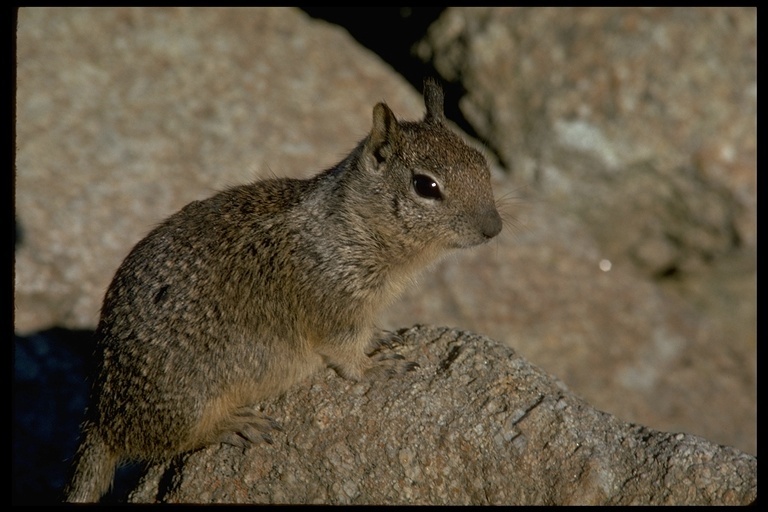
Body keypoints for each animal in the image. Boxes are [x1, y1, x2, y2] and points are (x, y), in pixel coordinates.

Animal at [64, 78, 504, 502]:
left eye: (482, 162)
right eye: (425, 186)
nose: (494, 228)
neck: (352, 225)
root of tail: (100, 417)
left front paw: (381, 336)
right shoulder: (334, 309)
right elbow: (347, 356)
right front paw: (376, 366)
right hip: (187, 404)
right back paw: (234, 425)